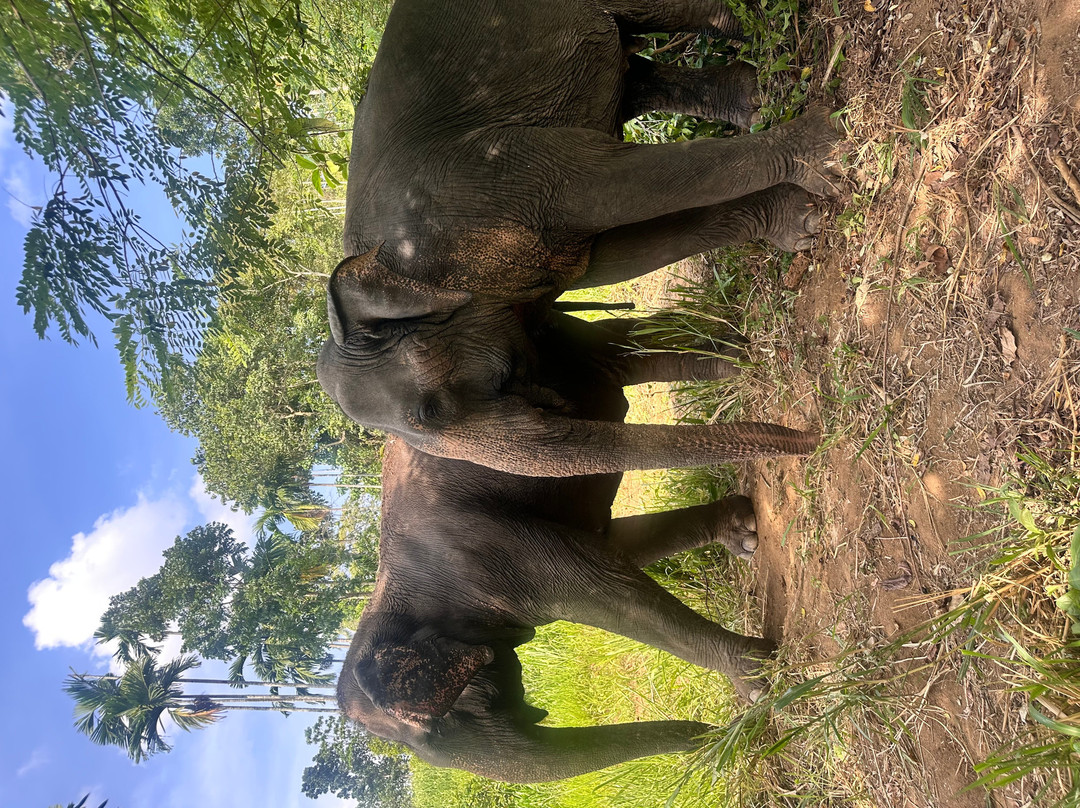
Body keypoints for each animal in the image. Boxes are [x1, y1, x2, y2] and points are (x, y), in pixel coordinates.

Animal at [317, 0, 843, 476]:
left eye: (431, 412)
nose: (815, 435)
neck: (381, 258)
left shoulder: (488, 177)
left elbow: (613, 184)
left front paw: (828, 145)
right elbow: (614, 253)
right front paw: (800, 223)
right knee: (635, 70)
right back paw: (752, 97)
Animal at [338, 311, 778, 783]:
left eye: (443, 725)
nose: (723, 735)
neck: (384, 597)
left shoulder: (483, 552)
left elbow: (606, 591)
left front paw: (758, 681)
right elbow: (615, 545)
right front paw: (744, 533)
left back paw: (745, 357)